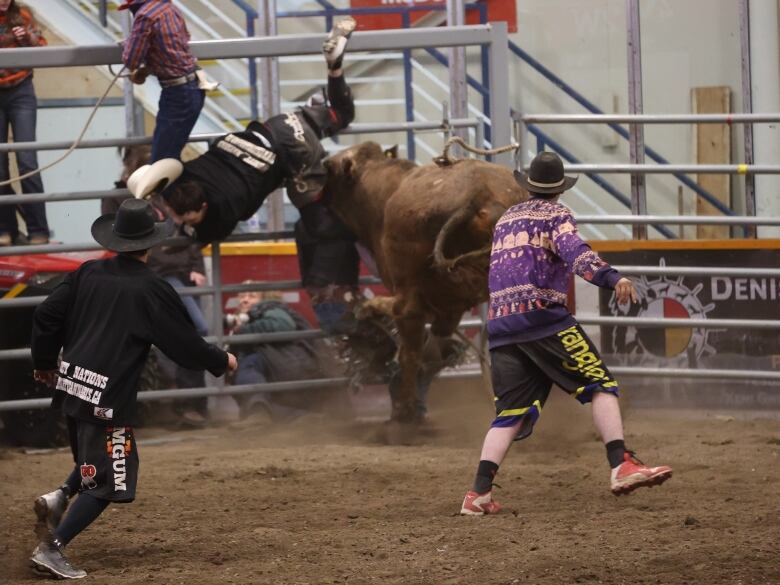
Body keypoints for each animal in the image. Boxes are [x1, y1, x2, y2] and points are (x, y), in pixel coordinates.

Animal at [322, 141, 532, 424]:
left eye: (332, 169)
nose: (323, 164)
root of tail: (479, 197)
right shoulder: (449, 306)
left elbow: (412, 347)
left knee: (408, 338)